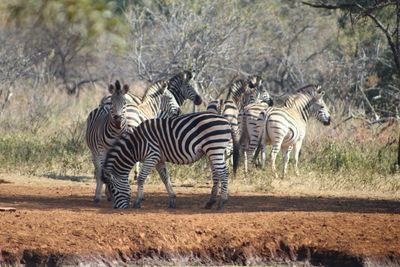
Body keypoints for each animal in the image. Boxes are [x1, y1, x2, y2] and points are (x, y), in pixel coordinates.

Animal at [101, 112, 239, 210]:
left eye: (113, 190)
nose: (116, 208)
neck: (135, 145)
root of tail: (226, 120)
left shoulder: (152, 156)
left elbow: (141, 178)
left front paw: (138, 201)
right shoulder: (158, 159)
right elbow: (165, 178)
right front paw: (172, 199)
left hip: (215, 147)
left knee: (224, 173)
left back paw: (222, 202)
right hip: (214, 151)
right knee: (217, 174)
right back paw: (210, 202)